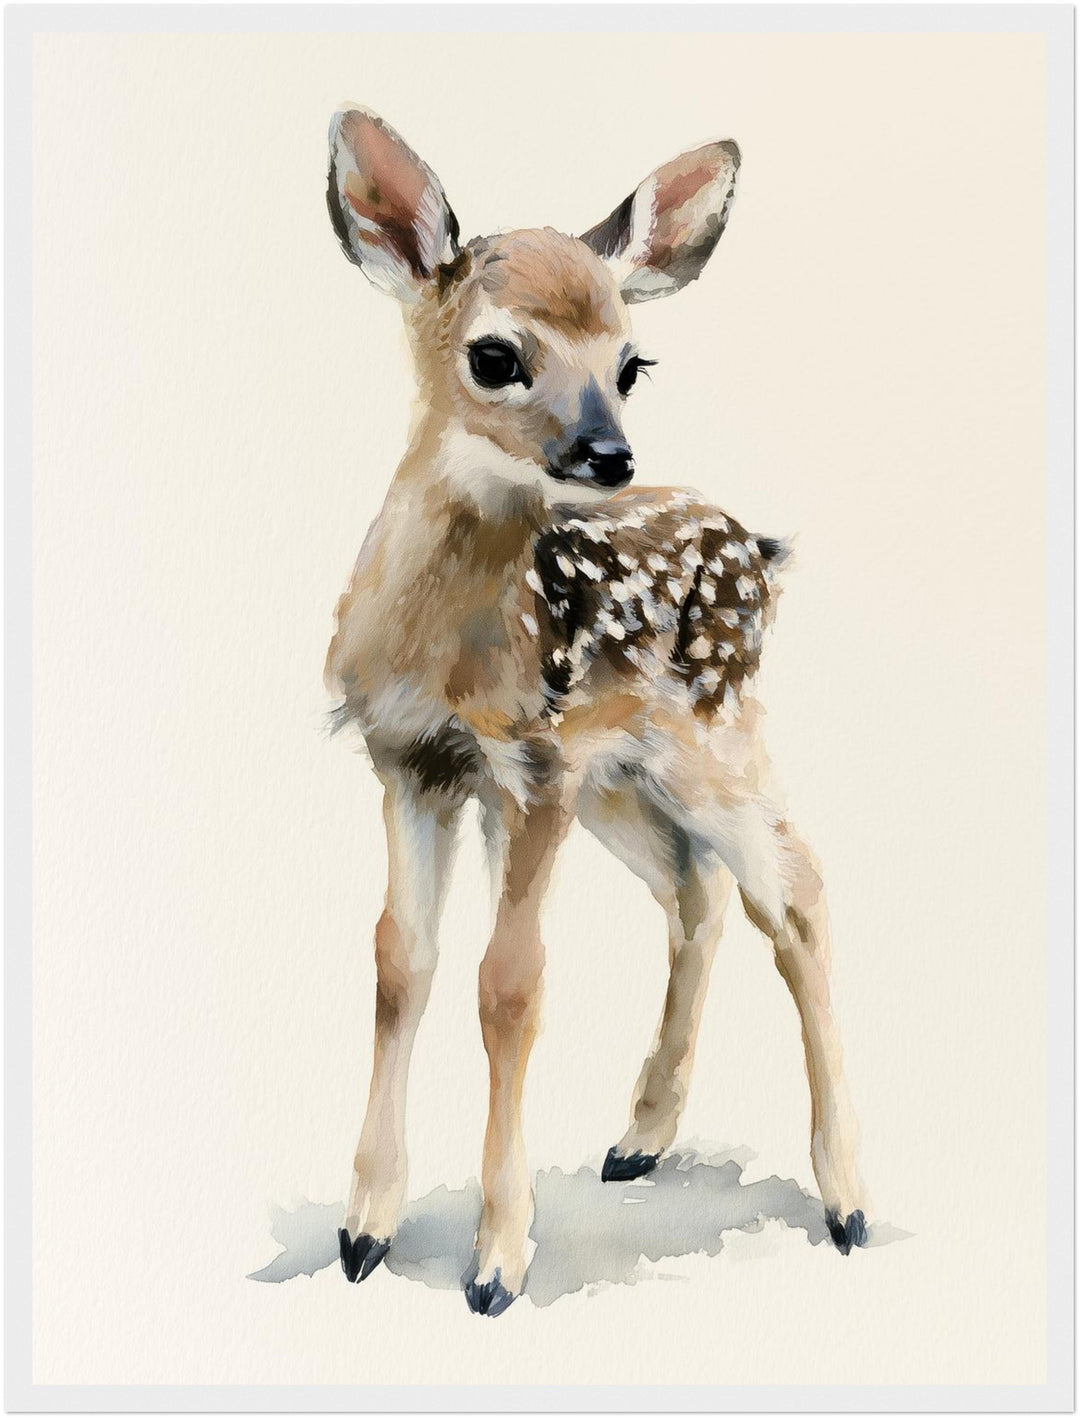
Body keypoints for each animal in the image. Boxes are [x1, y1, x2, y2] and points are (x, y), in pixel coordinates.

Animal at [323, 105, 869, 1317]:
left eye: (632, 362)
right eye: (495, 354)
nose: (608, 453)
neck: (447, 650)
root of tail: (757, 548)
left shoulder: (529, 769)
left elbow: (509, 985)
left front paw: (497, 1262)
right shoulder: (410, 763)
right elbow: (398, 964)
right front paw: (363, 1230)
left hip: (710, 739)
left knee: (796, 892)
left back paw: (849, 1200)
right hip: (622, 779)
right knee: (694, 892)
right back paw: (640, 1136)